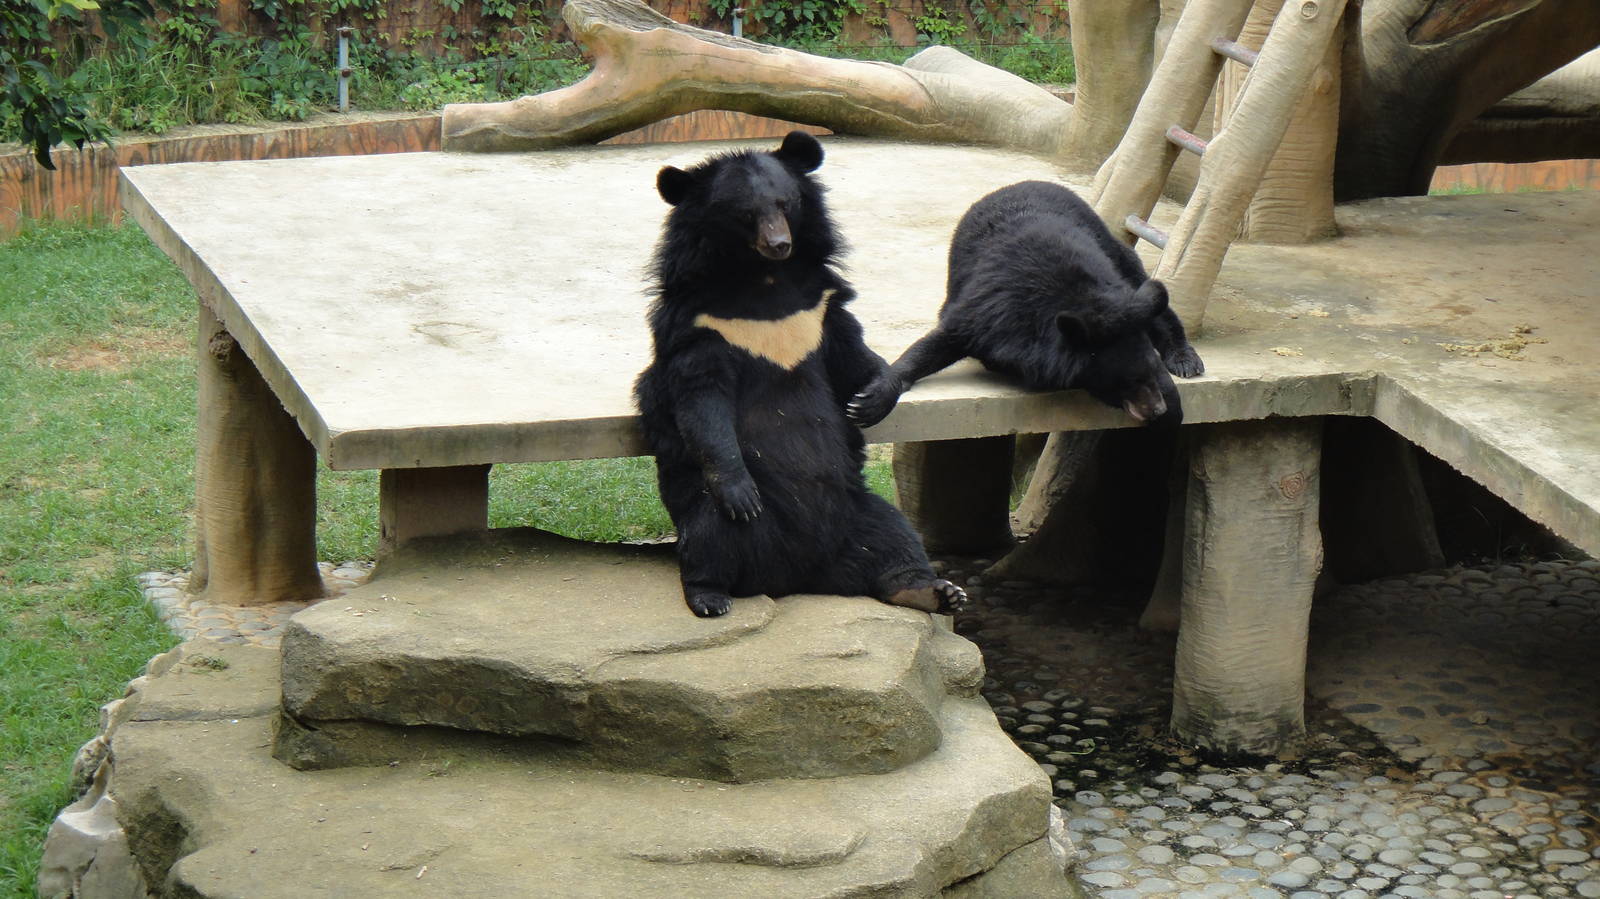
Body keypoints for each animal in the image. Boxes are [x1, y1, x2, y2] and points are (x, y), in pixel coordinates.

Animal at [633, 131, 967, 618]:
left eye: (785, 203)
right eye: (745, 214)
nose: (779, 244)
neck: (765, 279)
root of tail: (795, 576)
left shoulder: (820, 305)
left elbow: (853, 352)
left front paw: (870, 400)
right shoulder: (701, 324)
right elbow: (702, 401)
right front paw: (740, 491)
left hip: (862, 507)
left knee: (896, 539)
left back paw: (934, 591)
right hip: (712, 512)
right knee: (708, 539)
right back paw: (710, 596)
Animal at [846, 180, 1205, 429]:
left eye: (1150, 371)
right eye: (1128, 381)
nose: (1156, 409)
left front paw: (1174, 410)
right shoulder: (992, 313)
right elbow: (940, 341)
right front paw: (867, 403)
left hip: (1117, 255)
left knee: (1152, 294)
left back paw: (1186, 359)